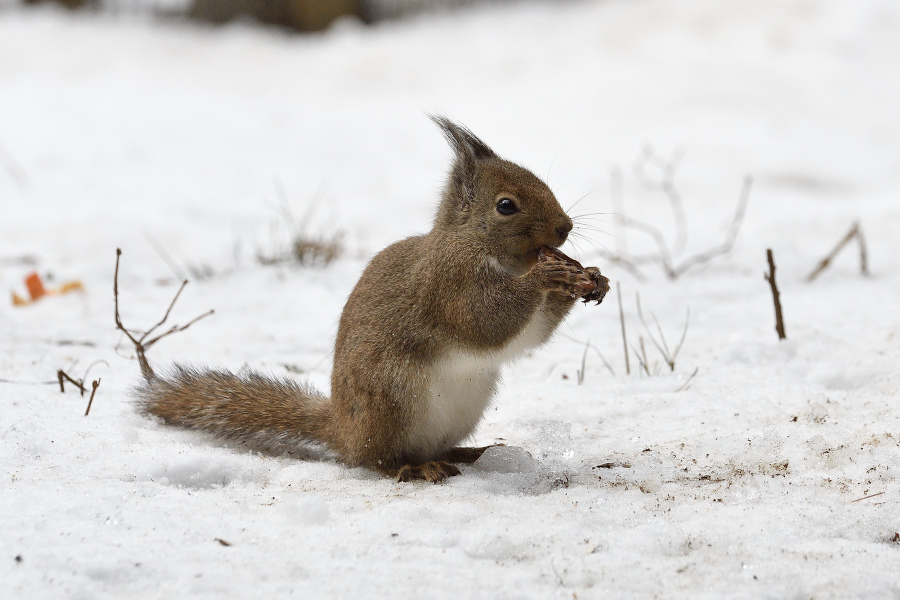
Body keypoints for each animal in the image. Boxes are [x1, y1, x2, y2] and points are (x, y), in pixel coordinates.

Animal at [137, 116, 608, 482]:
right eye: (506, 205)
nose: (565, 228)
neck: (476, 246)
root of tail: (343, 431)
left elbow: (530, 335)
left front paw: (593, 279)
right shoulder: (450, 284)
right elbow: (487, 322)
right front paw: (547, 276)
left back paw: (466, 453)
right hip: (392, 400)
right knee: (377, 460)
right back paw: (414, 468)